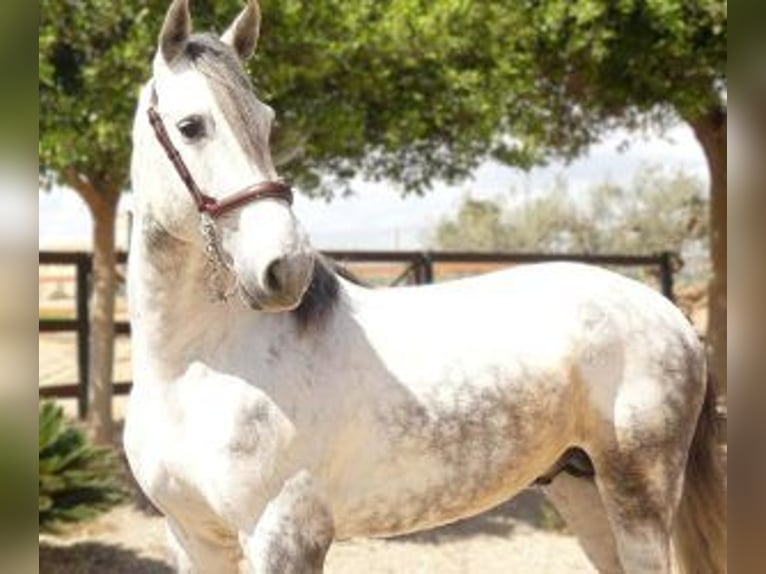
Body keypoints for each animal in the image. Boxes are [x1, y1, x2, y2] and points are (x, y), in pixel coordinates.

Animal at [124, 1, 728, 574]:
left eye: (267, 123)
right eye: (191, 126)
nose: (284, 268)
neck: (196, 367)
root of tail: (668, 313)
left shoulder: (283, 536)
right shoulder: (193, 537)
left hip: (638, 493)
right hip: (580, 488)